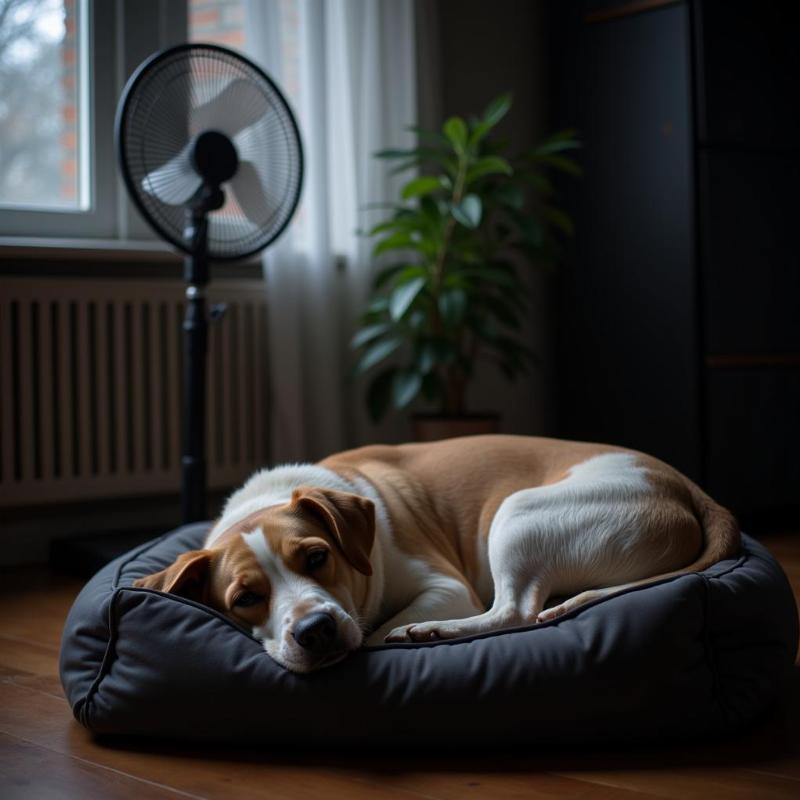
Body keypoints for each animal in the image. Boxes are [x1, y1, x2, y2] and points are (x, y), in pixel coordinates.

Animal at [131, 434, 736, 672]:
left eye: (317, 558)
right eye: (246, 598)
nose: (315, 632)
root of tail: (688, 489)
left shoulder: (445, 585)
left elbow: (376, 631)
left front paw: (394, 631)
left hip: (518, 515)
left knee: (514, 612)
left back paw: (431, 632)